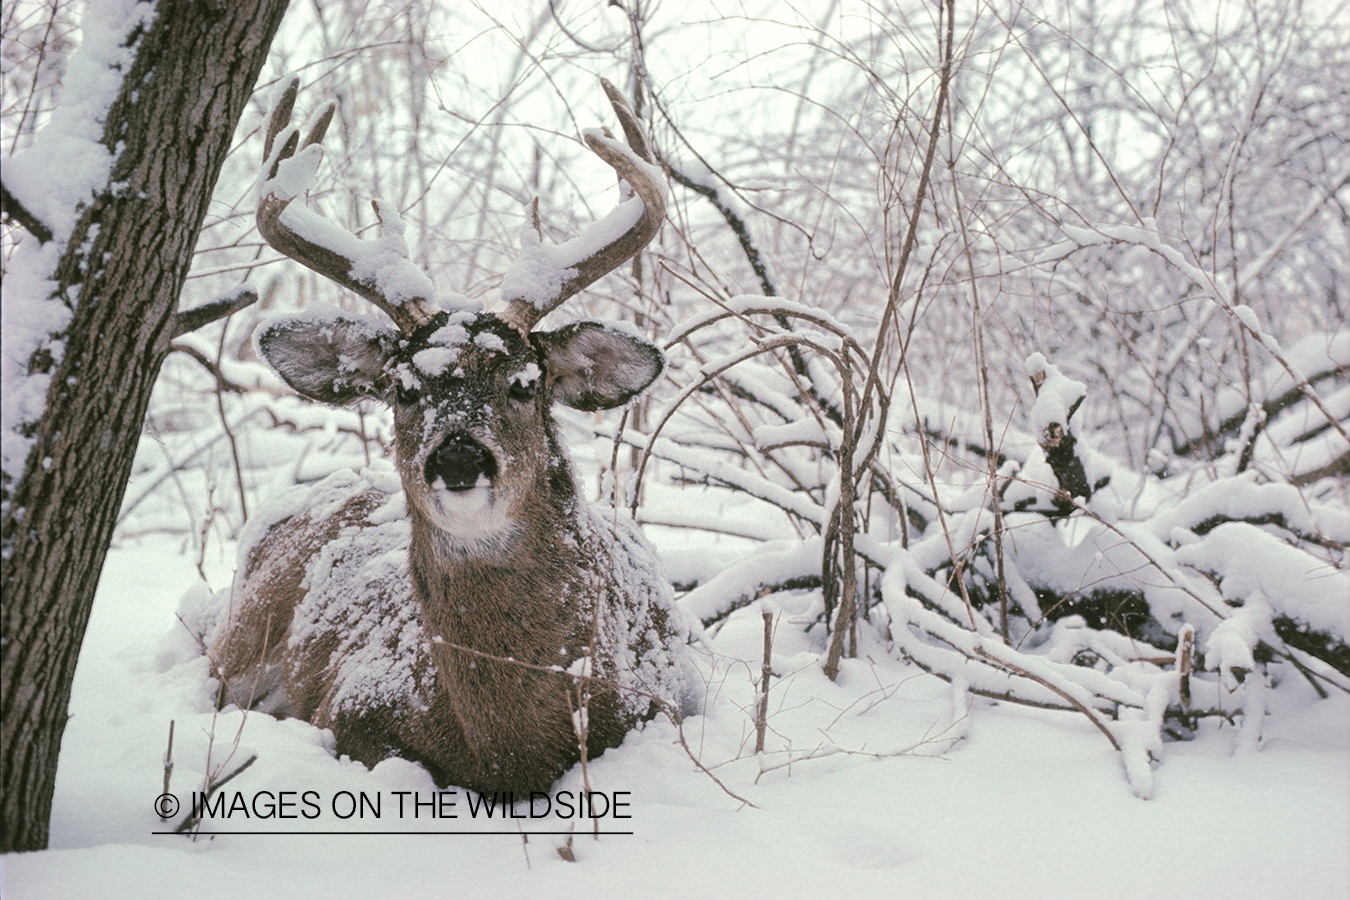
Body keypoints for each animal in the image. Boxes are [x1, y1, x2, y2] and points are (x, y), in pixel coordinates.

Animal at [206, 77, 695, 796]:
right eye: (403, 389)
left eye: (524, 384)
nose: (459, 459)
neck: (513, 747)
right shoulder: (349, 705)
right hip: (240, 637)